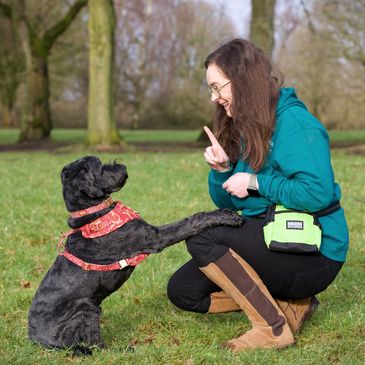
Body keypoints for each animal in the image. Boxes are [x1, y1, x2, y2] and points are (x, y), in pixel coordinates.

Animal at [28, 156, 243, 352]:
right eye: (100, 166)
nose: (122, 165)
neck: (93, 214)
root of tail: (36, 339)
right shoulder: (156, 236)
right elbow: (190, 221)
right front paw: (226, 216)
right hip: (86, 306)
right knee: (97, 346)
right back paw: (124, 350)